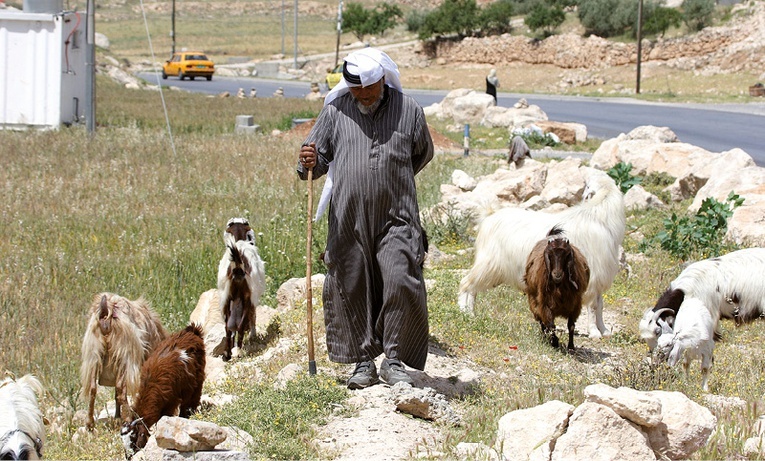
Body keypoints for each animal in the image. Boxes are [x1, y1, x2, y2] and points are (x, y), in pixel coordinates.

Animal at [78, 292, 166, 430]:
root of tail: (106, 309)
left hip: (94, 353)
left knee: (93, 388)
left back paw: (90, 424)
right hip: (125, 355)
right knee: (120, 388)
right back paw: (128, 418)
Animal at [120, 322, 204, 454]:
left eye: (133, 437)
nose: (129, 456)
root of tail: (191, 331)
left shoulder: (171, 402)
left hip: (197, 376)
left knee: (194, 395)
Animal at [218, 217, 266, 362]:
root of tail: (238, 265)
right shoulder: (253, 298)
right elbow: (253, 317)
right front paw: (253, 336)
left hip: (226, 298)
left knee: (228, 328)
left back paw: (227, 354)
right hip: (248, 297)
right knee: (241, 325)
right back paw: (239, 351)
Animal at [456, 169, 624, 338]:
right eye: (587, 185)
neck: (597, 217)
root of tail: (490, 215)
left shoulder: (600, 277)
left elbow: (600, 305)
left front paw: (605, 330)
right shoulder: (592, 276)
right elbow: (592, 306)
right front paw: (595, 332)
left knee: (473, 288)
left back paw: (470, 314)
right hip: (488, 264)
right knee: (466, 283)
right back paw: (465, 313)